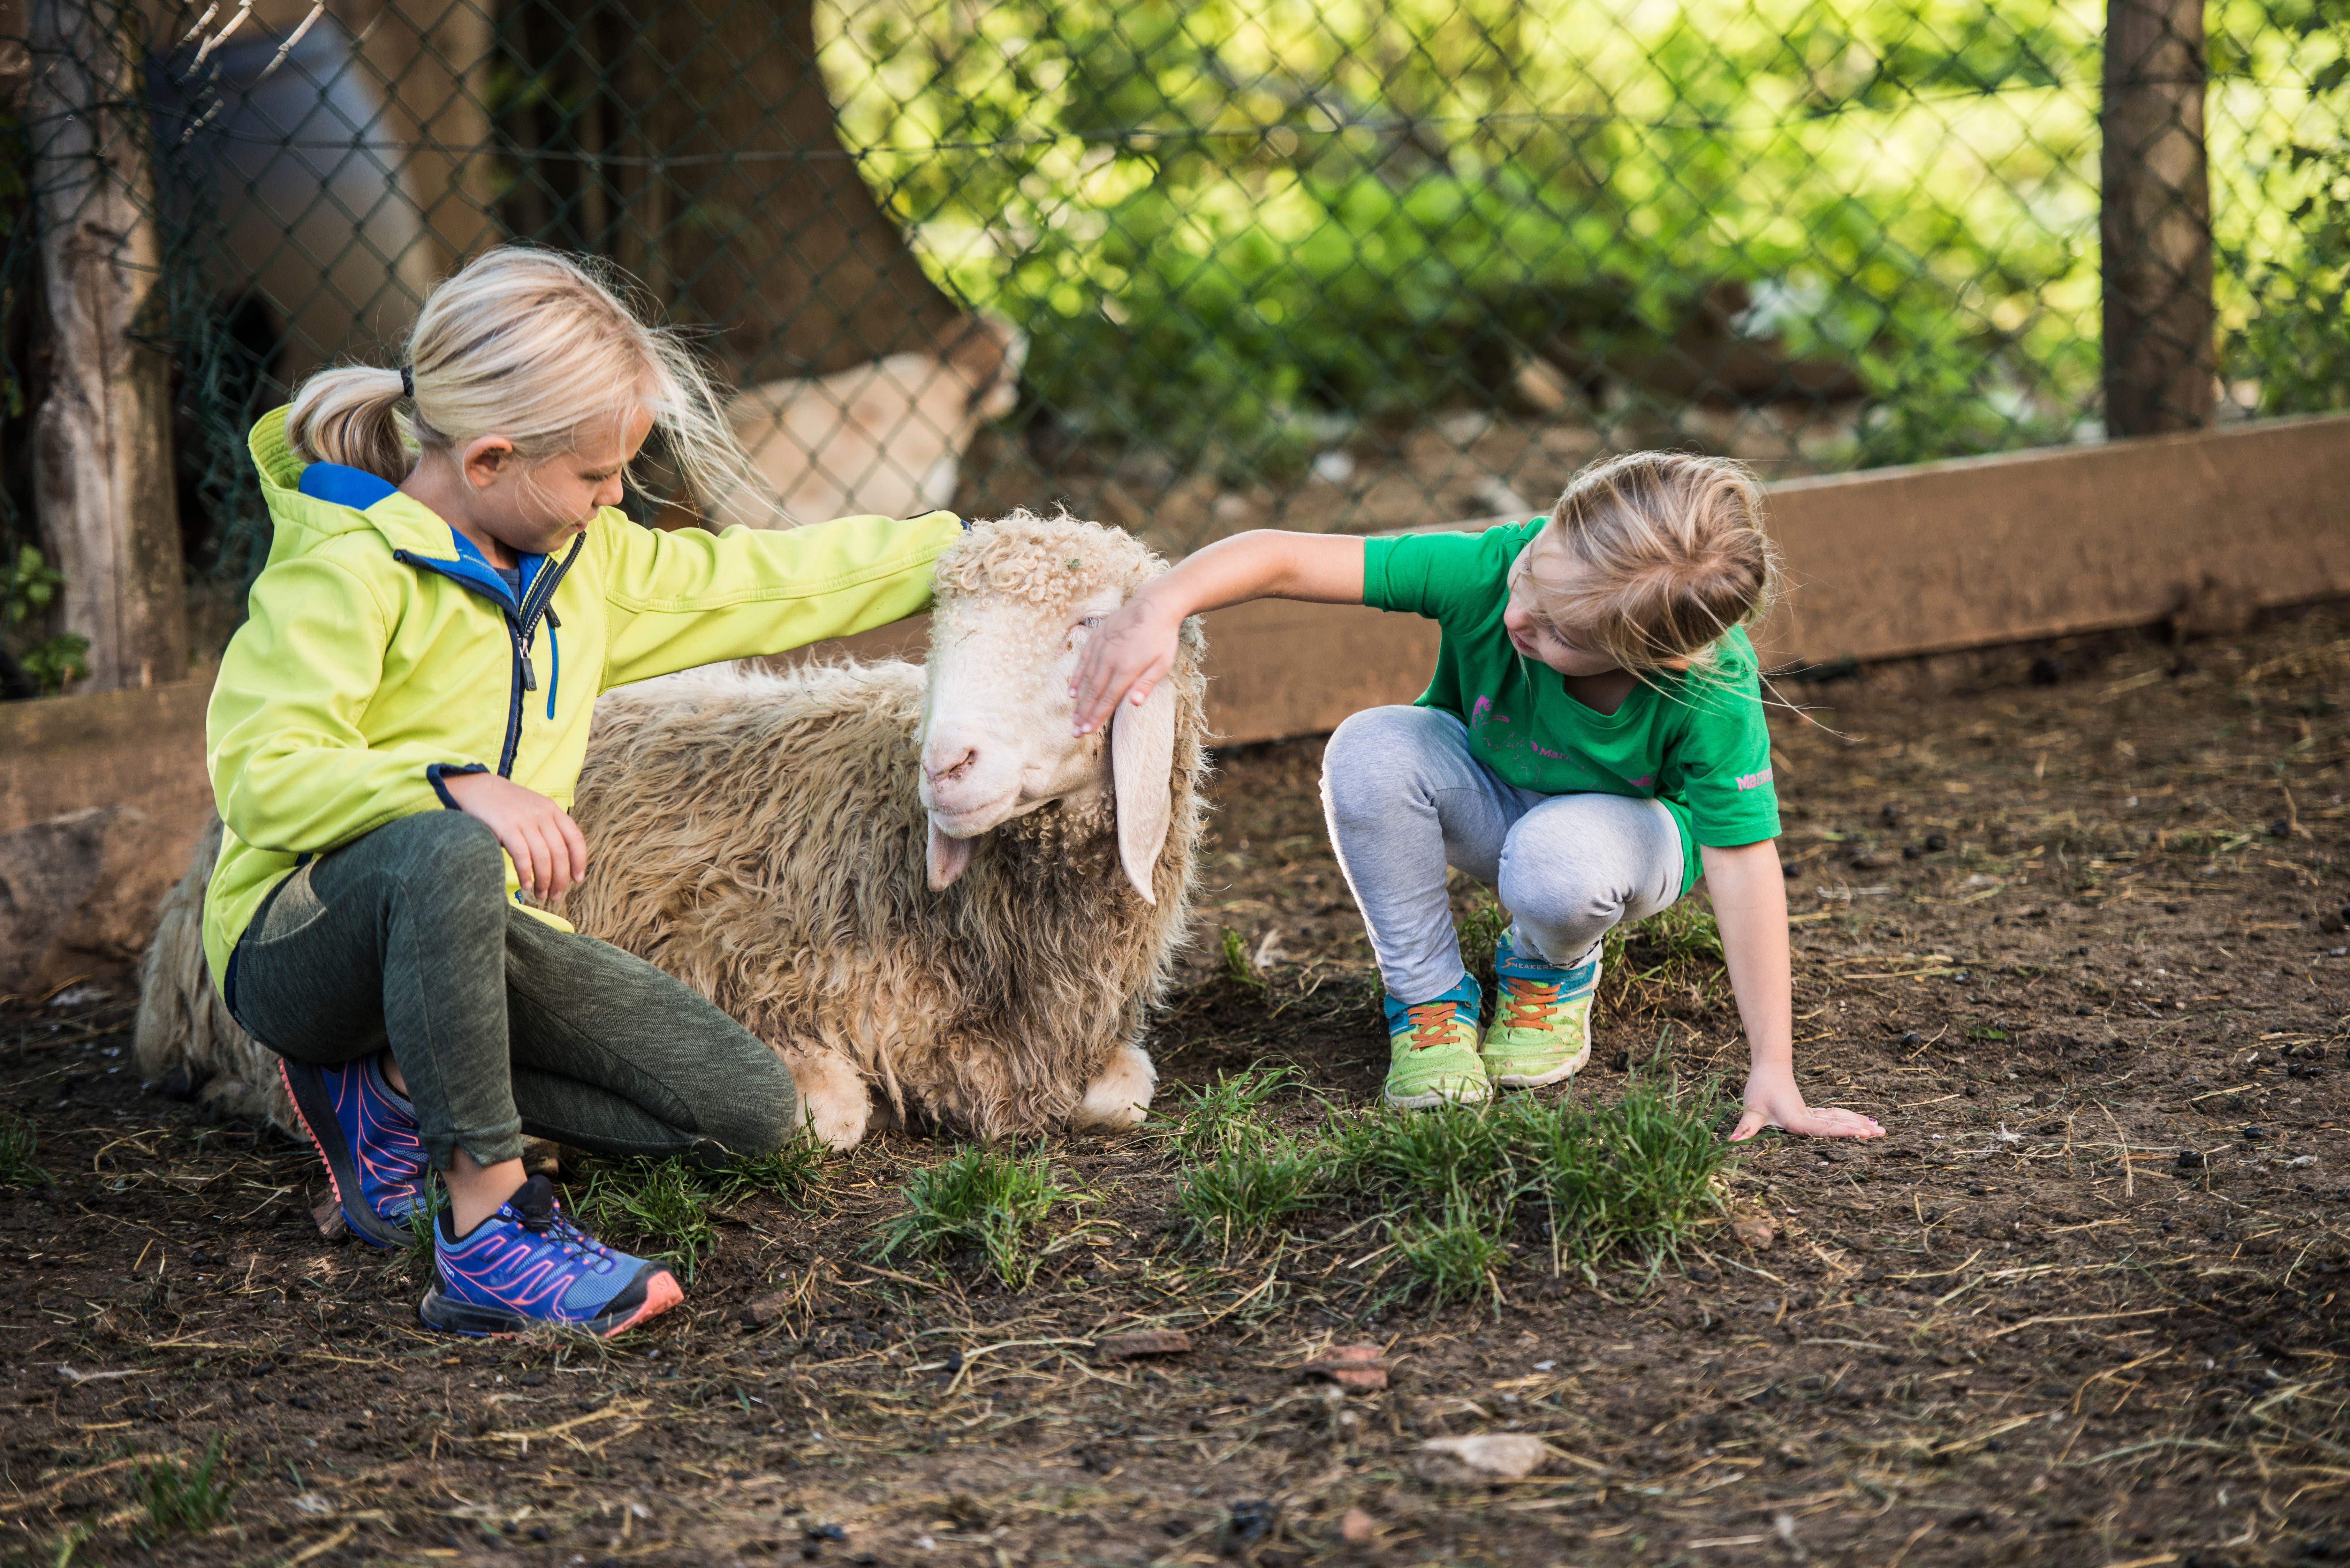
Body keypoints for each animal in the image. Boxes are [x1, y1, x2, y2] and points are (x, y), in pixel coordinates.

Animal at [131, 512, 1203, 1152]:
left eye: (1089, 626)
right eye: (941, 633)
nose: (945, 765)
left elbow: (1124, 1089)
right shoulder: (732, 957)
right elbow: (827, 1113)